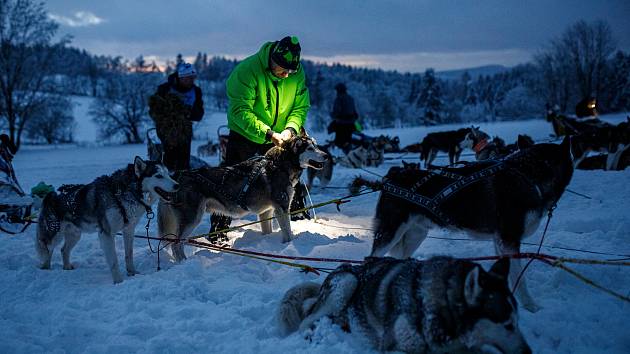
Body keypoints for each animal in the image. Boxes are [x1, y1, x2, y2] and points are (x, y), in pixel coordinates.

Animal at [36, 158, 178, 282]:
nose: (177, 185)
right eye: (158, 176)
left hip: (75, 235)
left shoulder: (128, 231)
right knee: (47, 250)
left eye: (168, 174)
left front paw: (132, 273)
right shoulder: (107, 234)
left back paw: (66, 267)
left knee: (63, 250)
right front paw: (118, 281)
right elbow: (114, 261)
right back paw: (46, 269)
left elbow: (129, 254)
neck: (127, 192)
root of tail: (50, 195)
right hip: (54, 235)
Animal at [158, 134, 328, 262]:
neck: (280, 165)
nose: (326, 155)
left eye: (316, 145)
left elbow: (268, 231)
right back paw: (183, 263)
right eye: (309, 148)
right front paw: (288, 246)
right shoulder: (282, 207)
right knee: (176, 245)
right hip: (191, 218)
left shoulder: (266, 212)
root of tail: (178, 177)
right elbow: (288, 232)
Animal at [278, 258, 532, 354]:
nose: (528, 352)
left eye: (519, 322)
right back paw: (312, 334)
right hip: (347, 283)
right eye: (508, 324)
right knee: (307, 319)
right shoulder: (393, 348)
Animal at [354, 140, 576, 312]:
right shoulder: (510, 238)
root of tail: (393, 175)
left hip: (415, 235)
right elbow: (519, 278)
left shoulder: (500, 241)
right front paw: (531, 307)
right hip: (391, 232)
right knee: (371, 259)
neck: (527, 175)